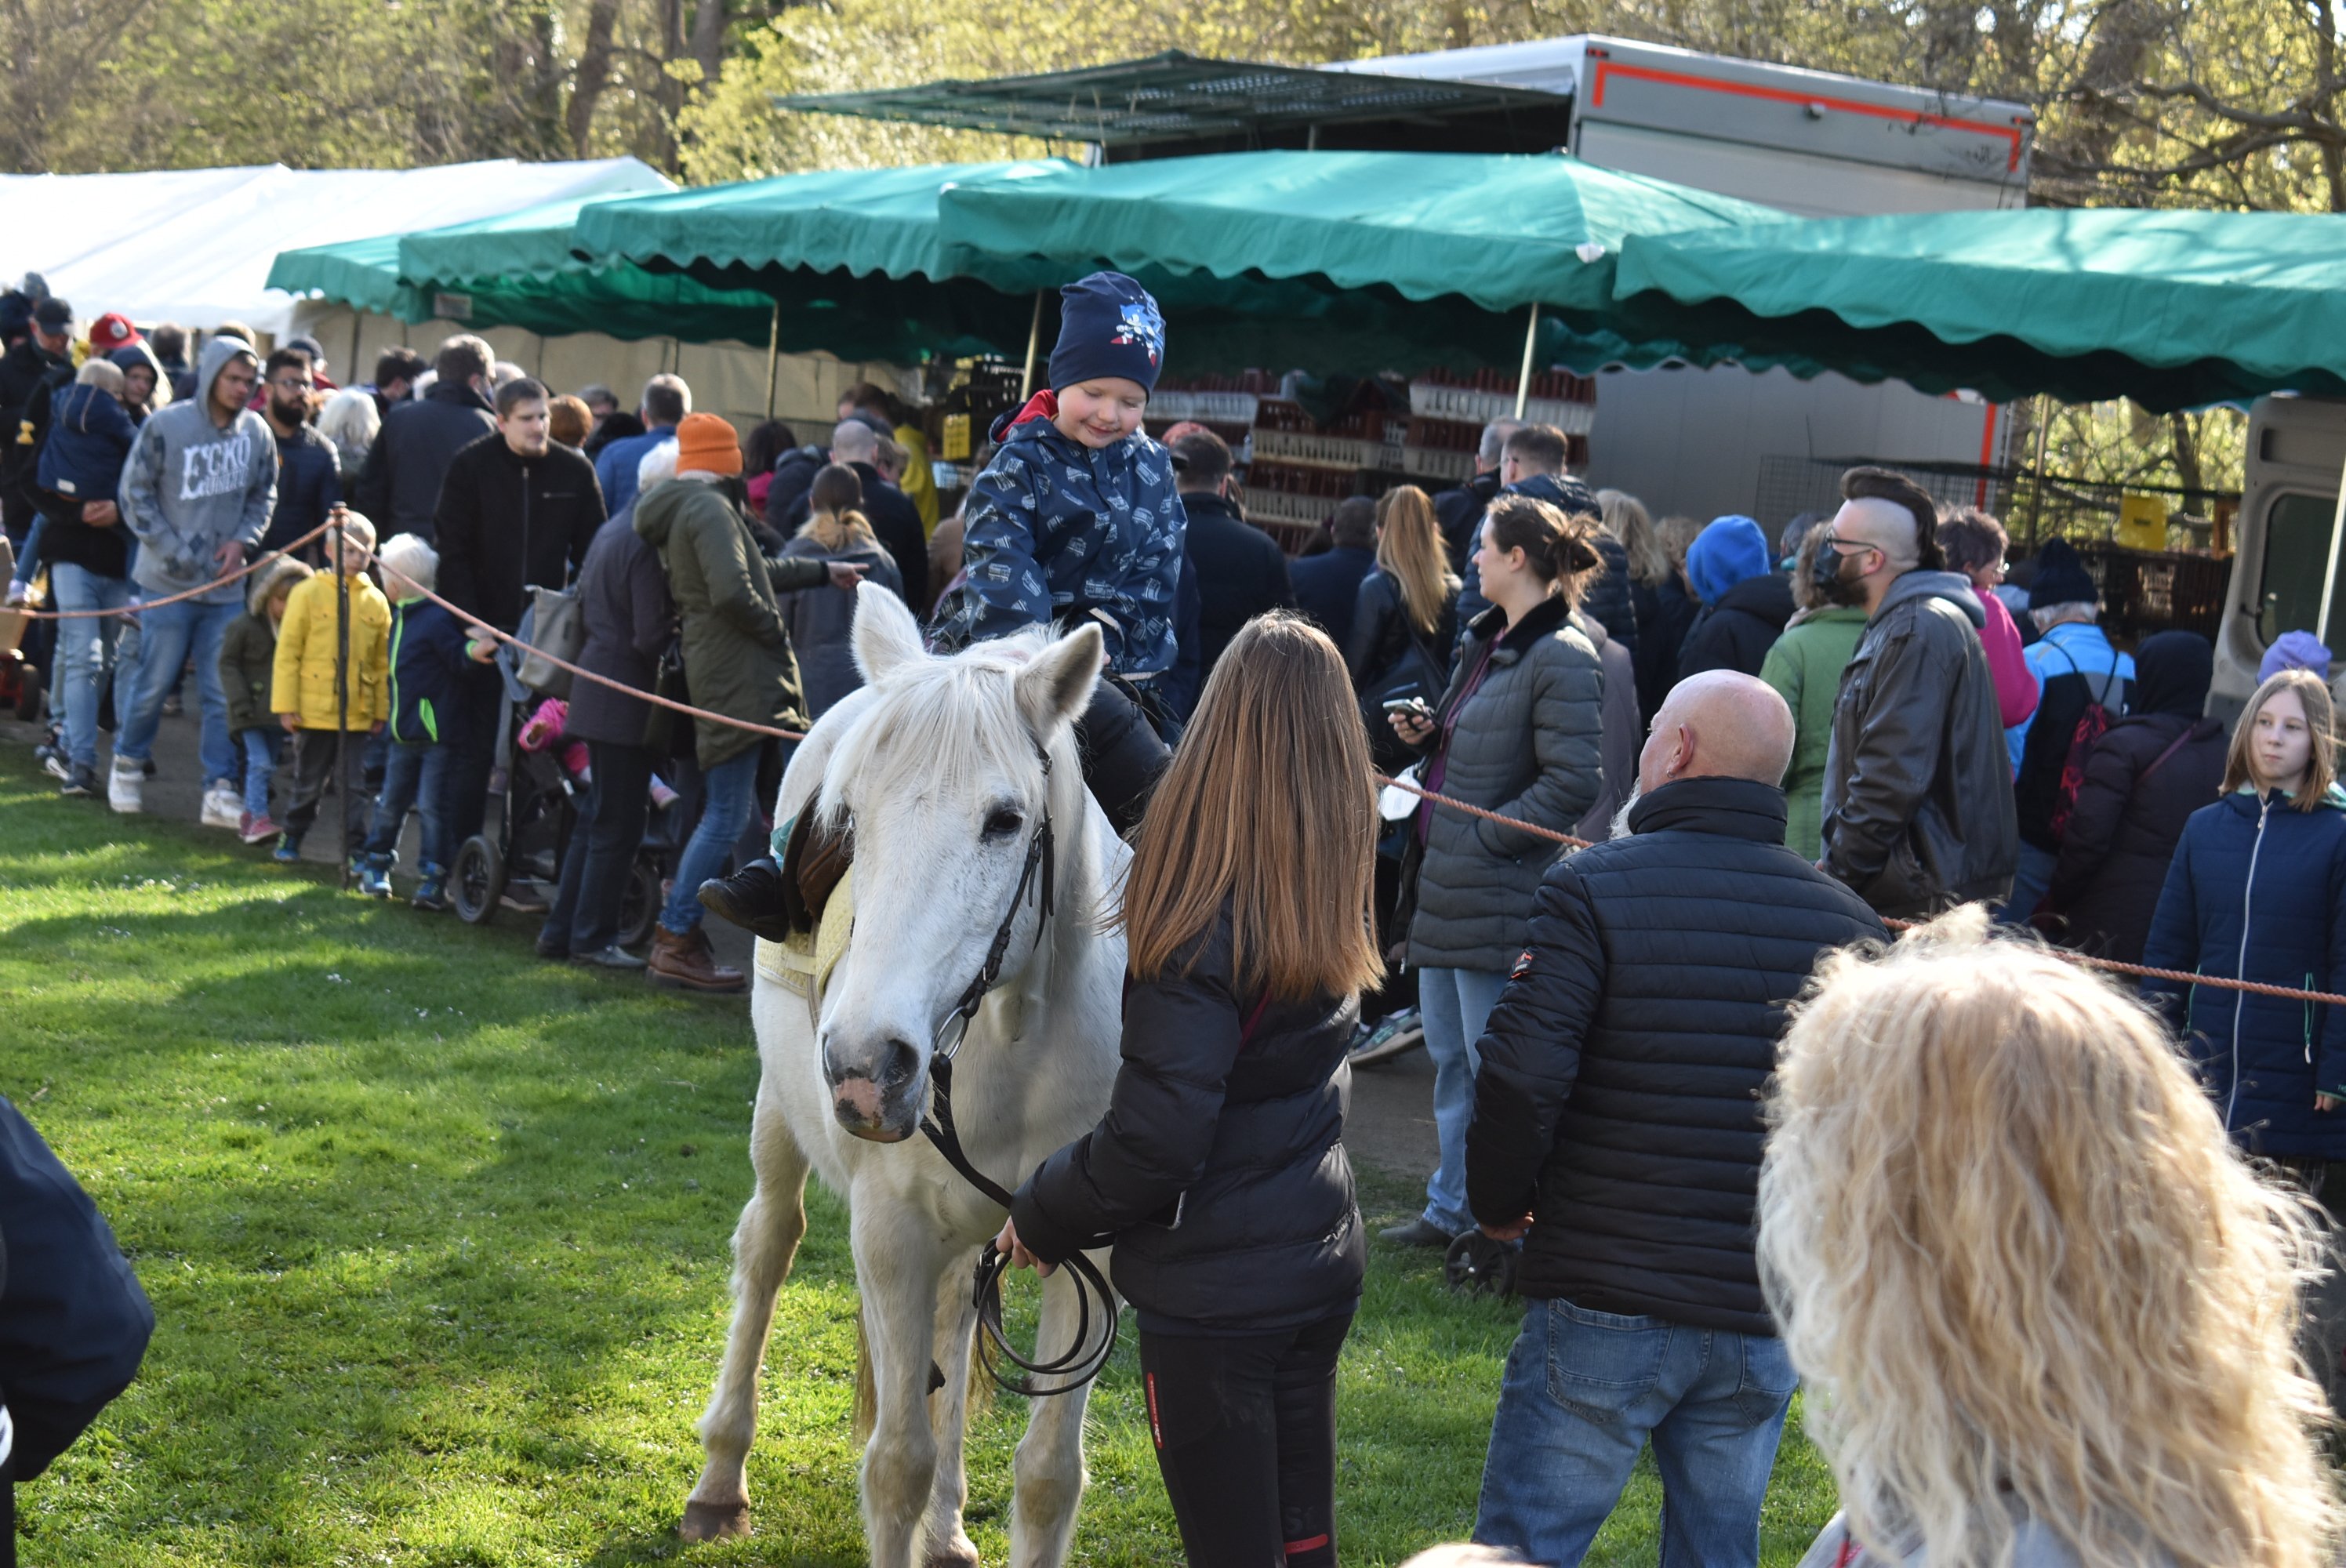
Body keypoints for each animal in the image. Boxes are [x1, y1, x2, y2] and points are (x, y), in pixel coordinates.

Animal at [685, 586, 1131, 1567]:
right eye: (850, 815)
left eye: (1005, 819)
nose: (864, 1063)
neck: (1008, 1046)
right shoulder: (891, 1231)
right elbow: (896, 1462)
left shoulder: (1084, 1251)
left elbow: (1049, 1475)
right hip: (781, 1119)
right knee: (768, 1245)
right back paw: (718, 1480)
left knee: (956, 1320)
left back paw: (950, 1528)